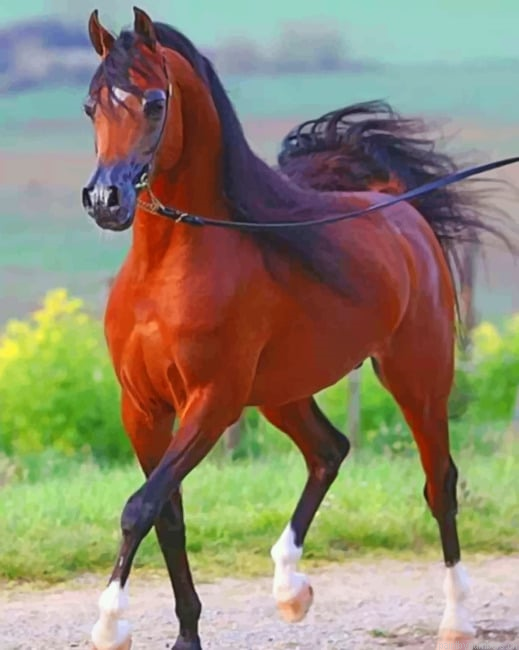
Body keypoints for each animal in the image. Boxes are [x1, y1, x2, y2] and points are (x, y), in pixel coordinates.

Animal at [81, 8, 515, 650]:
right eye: (92, 104)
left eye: (154, 102)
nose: (106, 200)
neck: (166, 270)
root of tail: (400, 207)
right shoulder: (142, 406)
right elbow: (167, 514)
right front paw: (185, 634)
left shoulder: (211, 404)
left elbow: (140, 507)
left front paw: (110, 623)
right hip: (281, 393)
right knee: (329, 450)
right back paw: (290, 589)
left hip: (417, 377)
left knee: (440, 483)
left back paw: (456, 621)